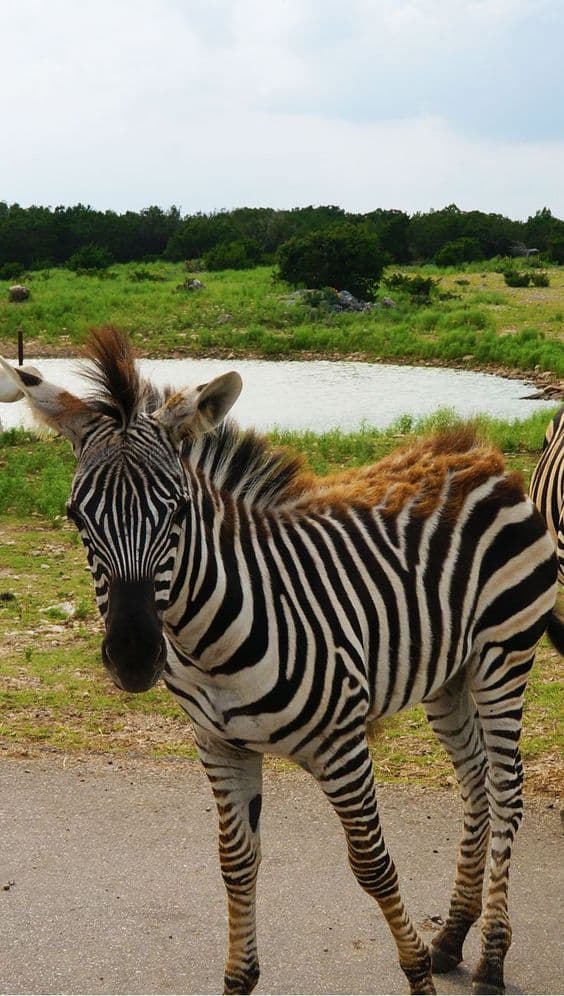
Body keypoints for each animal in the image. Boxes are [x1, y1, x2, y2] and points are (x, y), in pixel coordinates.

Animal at [2, 326, 560, 996]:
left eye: (178, 510)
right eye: (75, 515)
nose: (134, 658)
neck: (208, 643)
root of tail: (481, 456)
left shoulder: (342, 743)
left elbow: (373, 865)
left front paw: (417, 972)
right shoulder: (219, 744)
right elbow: (236, 863)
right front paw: (239, 978)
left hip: (503, 657)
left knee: (505, 791)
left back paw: (492, 957)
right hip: (447, 677)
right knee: (475, 786)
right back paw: (453, 935)